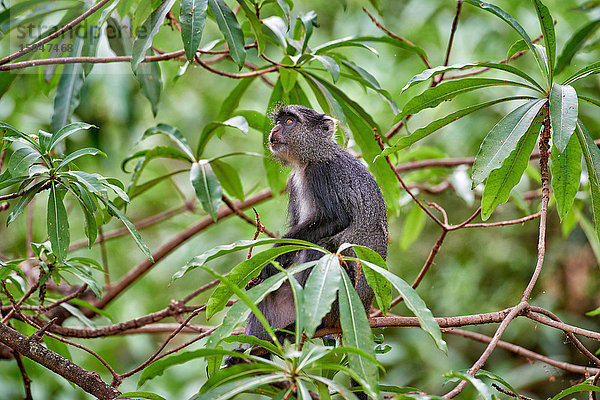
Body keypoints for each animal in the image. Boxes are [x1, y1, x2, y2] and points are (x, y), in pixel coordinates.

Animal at [244, 105, 390, 340]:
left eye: (289, 122)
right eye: (278, 121)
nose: (275, 130)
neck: (310, 159)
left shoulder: (323, 172)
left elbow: (335, 219)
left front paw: (269, 264)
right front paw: (267, 270)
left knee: (323, 247)